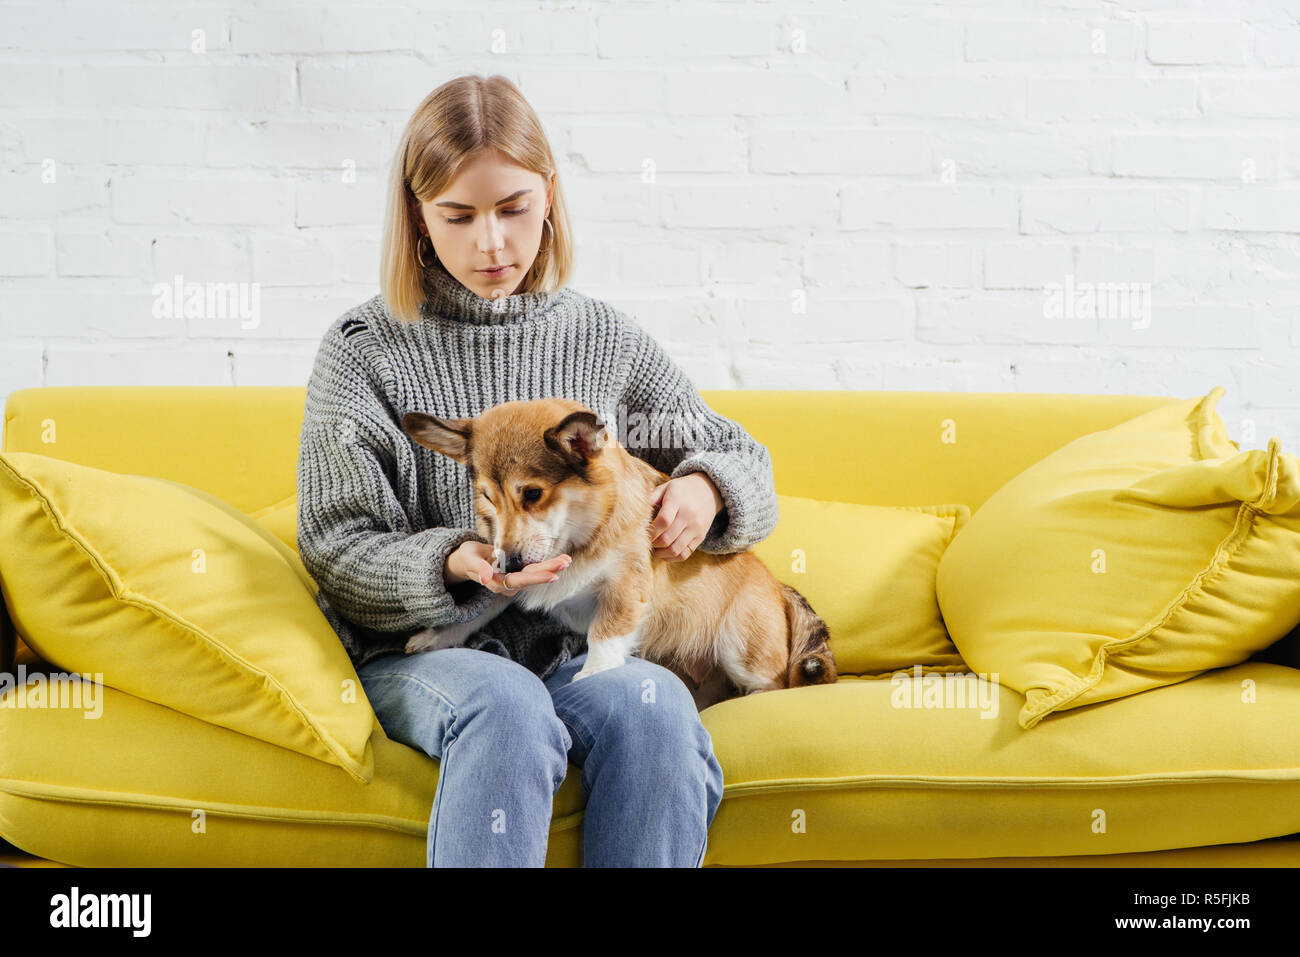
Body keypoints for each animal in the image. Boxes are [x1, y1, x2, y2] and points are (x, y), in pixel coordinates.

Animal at [400, 395, 837, 712]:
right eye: (488, 498)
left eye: (533, 494)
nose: (509, 565)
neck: (579, 536)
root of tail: (780, 588)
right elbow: (478, 609)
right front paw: (436, 638)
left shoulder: (625, 588)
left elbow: (604, 636)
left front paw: (591, 675)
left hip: (740, 648)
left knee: (776, 685)